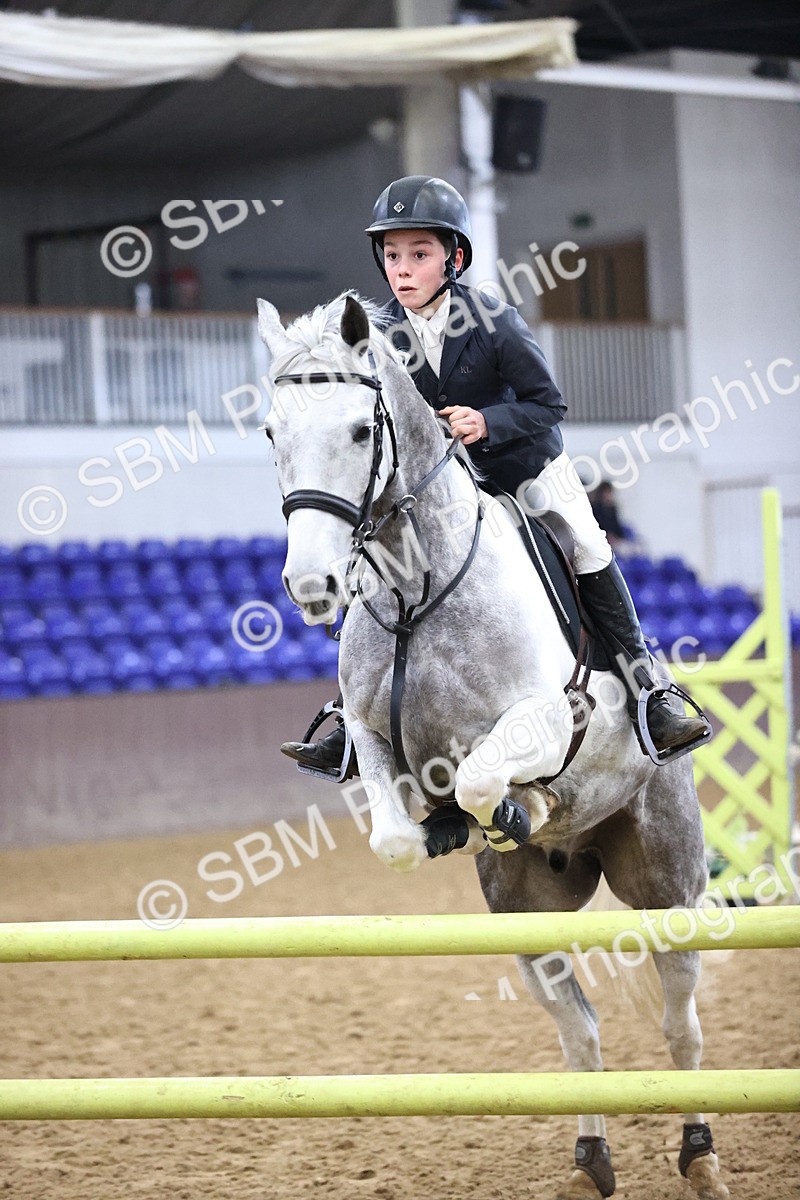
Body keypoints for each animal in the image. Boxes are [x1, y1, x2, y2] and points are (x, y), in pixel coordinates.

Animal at [256, 291, 729, 1200]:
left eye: (361, 432)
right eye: (271, 432)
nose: (311, 587)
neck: (418, 586)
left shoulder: (545, 718)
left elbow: (483, 777)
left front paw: (522, 803)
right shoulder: (371, 734)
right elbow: (396, 833)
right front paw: (449, 826)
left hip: (666, 884)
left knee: (682, 1023)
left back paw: (700, 1155)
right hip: (526, 916)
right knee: (581, 1031)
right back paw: (589, 1163)